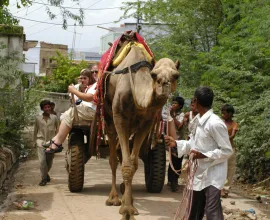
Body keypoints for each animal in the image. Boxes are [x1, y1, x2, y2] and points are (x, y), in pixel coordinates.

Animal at [104, 38, 181, 219]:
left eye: (176, 75)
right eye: (154, 75)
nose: (164, 85)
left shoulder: (146, 123)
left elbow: (133, 164)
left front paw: (130, 205)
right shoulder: (119, 118)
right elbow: (126, 165)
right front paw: (126, 211)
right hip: (109, 118)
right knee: (113, 158)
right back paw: (113, 198)